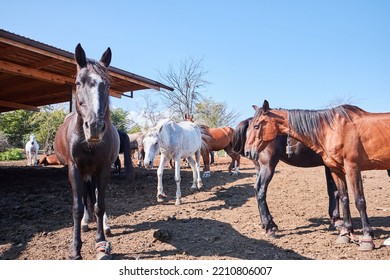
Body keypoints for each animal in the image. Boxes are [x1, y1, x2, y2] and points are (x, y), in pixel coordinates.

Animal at [53, 44, 119, 260]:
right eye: (78, 83)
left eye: (107, 84)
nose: (95, 127)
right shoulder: (74, 169)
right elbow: (77, 208)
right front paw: (75, 249)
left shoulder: (104, 169)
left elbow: (100, 204)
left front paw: (101, 241)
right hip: (82, 172)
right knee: (85, 197)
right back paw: (84, 223)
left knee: (94, 196)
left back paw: (104, 226)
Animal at [245, 100, 390, 252]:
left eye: (257, 126)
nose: (248, 151)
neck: (333, 130)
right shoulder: (339, 169)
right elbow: (343, 196)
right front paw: (348, 231)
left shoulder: (348, 168)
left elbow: (352, 199)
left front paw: (359, 235)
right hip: (267, 166)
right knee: (260, 190)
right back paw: (270, 226)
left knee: (259, 190)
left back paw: (268, 225)